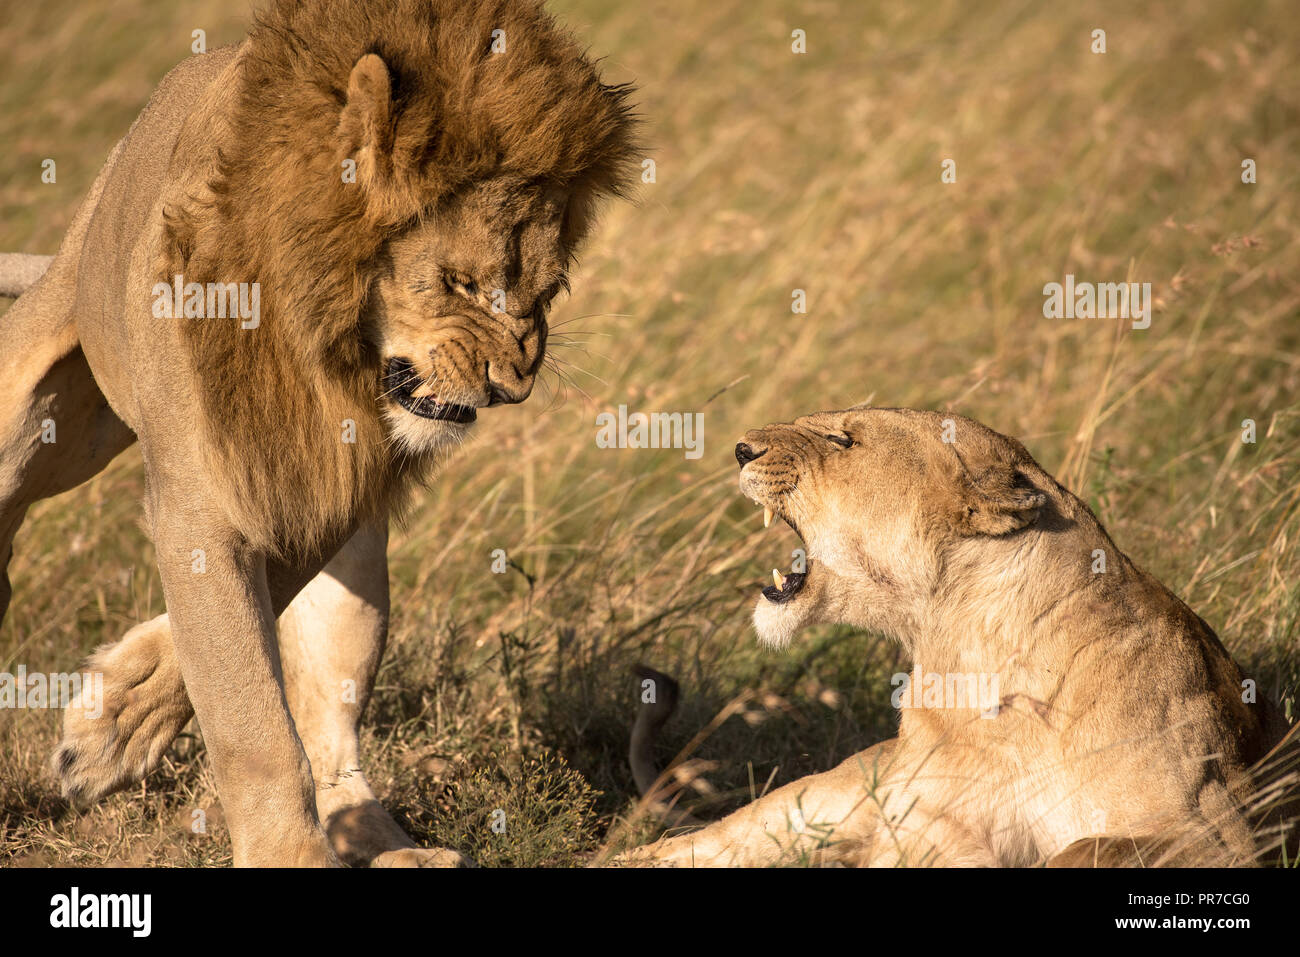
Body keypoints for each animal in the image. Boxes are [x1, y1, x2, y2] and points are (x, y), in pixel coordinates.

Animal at [0, 0, 637, 868]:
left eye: (550, 290)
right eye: (460, 282)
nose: (515, 387)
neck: (327, 353)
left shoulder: (326, 491)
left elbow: (242, 659)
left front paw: (115, 719)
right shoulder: (207, 495)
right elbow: (250, 717)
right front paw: (283, 853)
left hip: (361, 581)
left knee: (336, 748)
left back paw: (399, 850)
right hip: (45, 405)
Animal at [624, 408, 1294, 863]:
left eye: (843, 439)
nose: (741, 448)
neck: (964, 654)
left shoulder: (1219, 829)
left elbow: (1084, 848)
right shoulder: (919, 826)